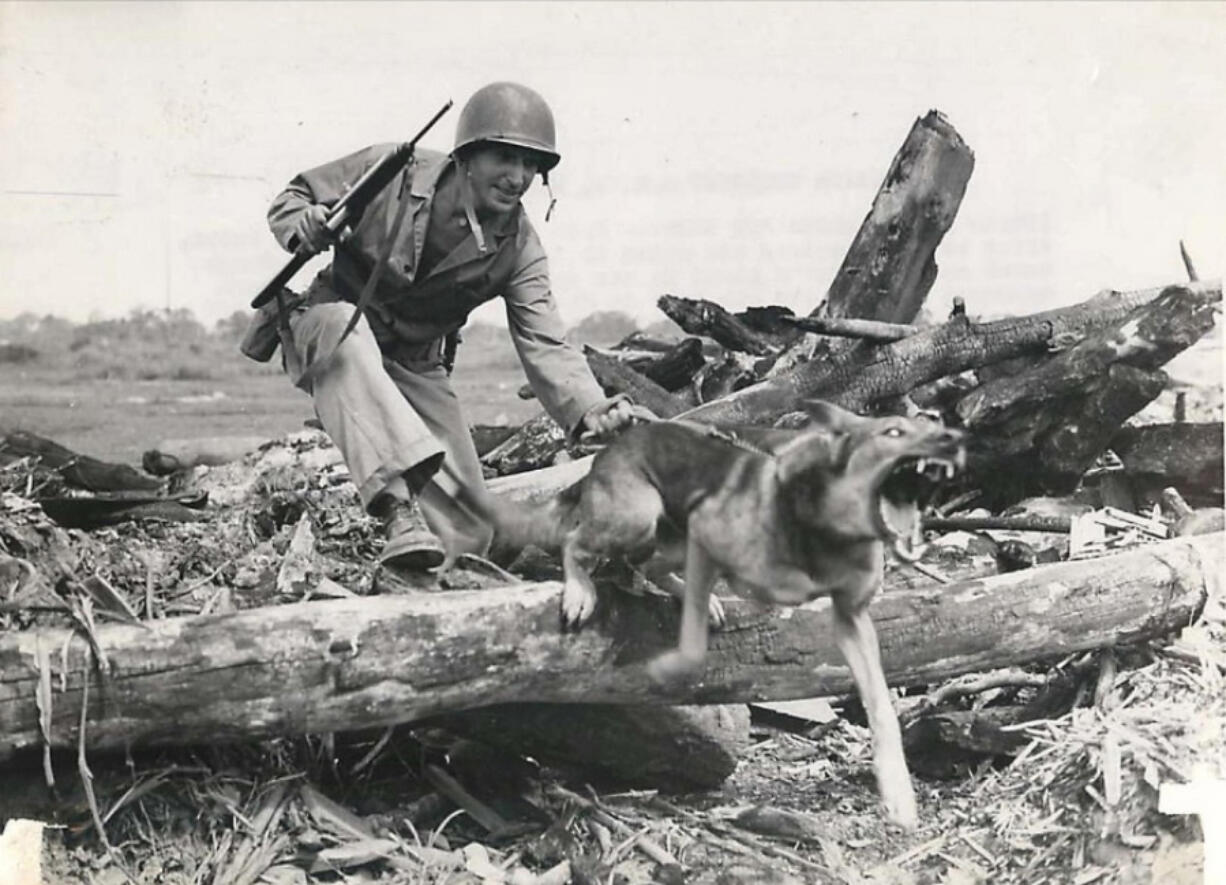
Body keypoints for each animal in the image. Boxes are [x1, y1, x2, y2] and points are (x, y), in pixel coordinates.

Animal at [492, 399, 961, 828]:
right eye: (893, 432)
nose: (951, 437)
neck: (825, 527)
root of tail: (609, 450)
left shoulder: (852, 618)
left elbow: (881, 707)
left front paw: (898, 794)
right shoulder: (709, 533)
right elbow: (693, 647)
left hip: (664, 536)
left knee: (649, 565)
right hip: (636, 517)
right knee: (575, 541)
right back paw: (580, 591)